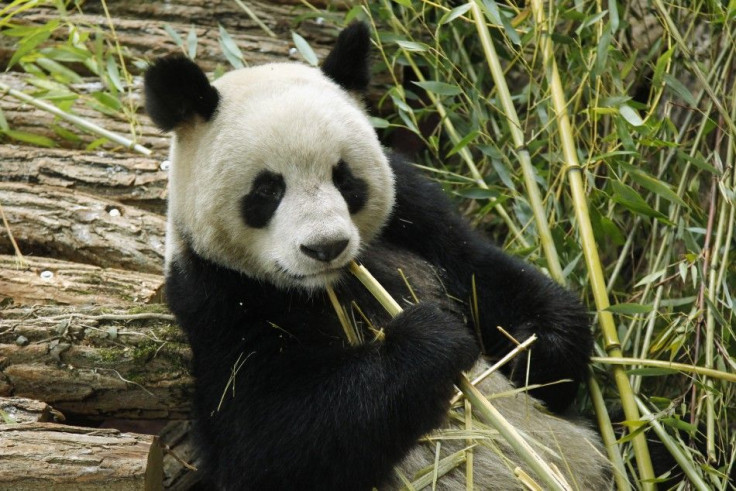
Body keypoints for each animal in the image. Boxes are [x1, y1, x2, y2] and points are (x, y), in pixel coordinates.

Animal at [142, 22, 608, 488]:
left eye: (344, 177)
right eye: (268, 189)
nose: (326, 247)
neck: (328, 286)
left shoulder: (415, 215)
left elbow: (485, 273)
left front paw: (534, 350)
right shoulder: (219, 299)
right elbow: (265, 442)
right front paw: (432, 337)